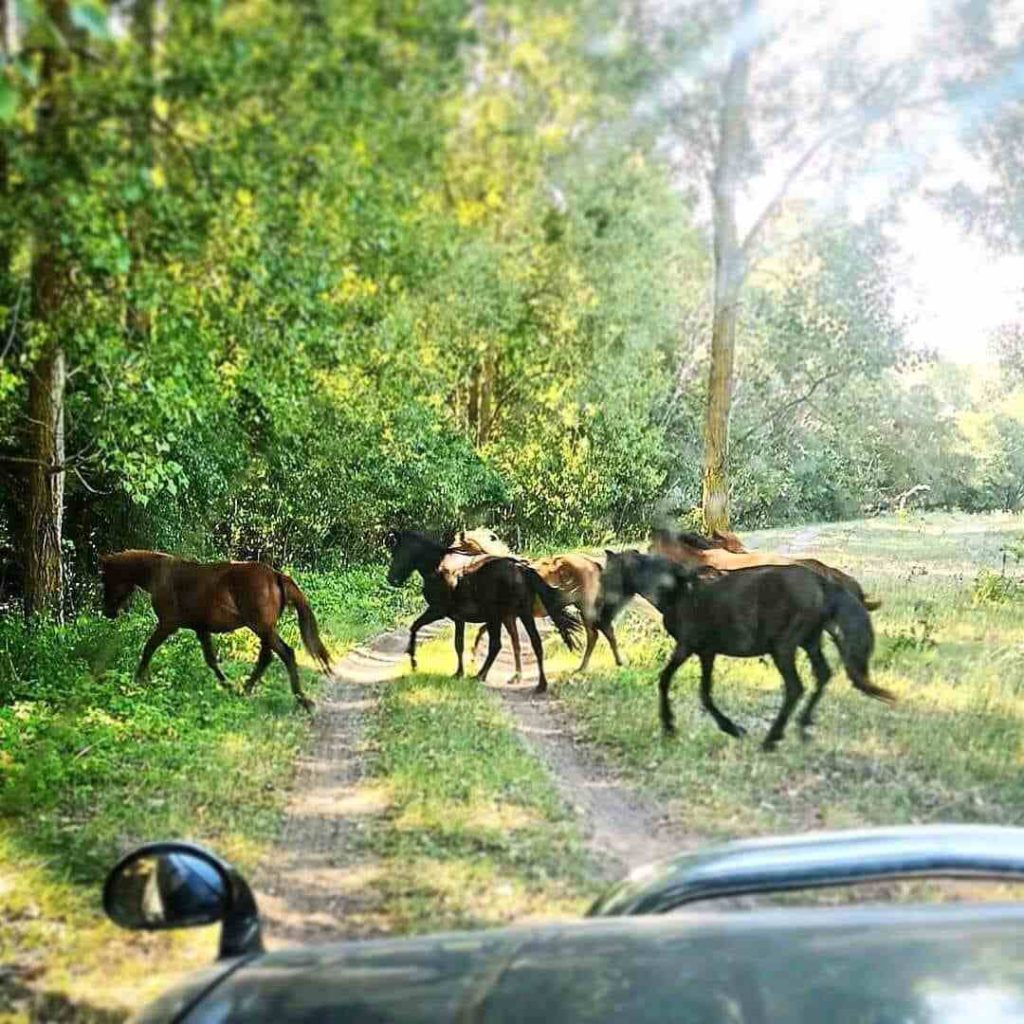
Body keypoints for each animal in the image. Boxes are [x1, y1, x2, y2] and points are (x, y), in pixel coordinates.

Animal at [97, 552, 329, 712]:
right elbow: (211, 660)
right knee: (267, 657)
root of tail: (276, 575)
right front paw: (227, 686)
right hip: (265, 630)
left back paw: (301, 700)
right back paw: (245, 689)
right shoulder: (201, 629)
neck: (160, 575)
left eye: (106, 579)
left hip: (261, 628)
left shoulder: (167, 625)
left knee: (286, 653)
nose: (107, 612)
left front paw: (137, 681)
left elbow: (148, 649)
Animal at [385, 528, 581, 696]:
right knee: (534, 643)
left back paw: (480, 675)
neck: (439, 567)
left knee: (497, 645)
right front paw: (458, 672)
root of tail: (521, 568)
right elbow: (458, 645)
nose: (391, 579)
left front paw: (413, 662)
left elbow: (415, 627)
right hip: (521, 615)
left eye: (397, 553)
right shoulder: (458, 619)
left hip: (499, 617)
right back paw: (540, 684)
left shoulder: (437, 610)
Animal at [456, 528, 622, 679]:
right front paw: (516, 674)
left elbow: (489, 634)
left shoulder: (506, 616)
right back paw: (600, 665)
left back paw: (596, 666)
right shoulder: (510, 616)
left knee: (596, 634)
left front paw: (474, 659)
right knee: (599, 633)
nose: (462, 572)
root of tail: (594, 564)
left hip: (586, 608)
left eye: (460, 546)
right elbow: (513, 642)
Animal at [598, 552, 892, 753]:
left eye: (606, 577)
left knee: (795, 687)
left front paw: (670, 726)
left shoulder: (687, 647)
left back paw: (771, 739)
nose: (600, 613)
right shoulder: (706, 652)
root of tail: (823, 583)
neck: (678, 590)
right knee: (822, 675)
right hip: (809, 642)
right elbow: (705, 693)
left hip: (784, 648)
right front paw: (731, 728)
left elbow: (666, 680)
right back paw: (802, 727)